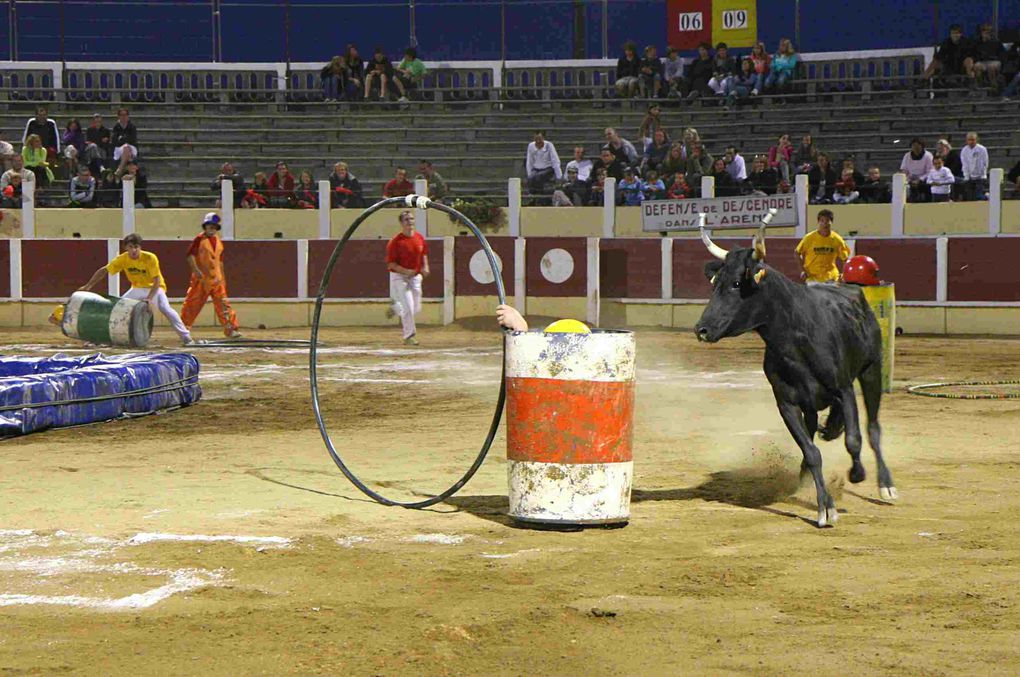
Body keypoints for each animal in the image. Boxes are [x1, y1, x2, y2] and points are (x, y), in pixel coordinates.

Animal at [693, 227, 901, 530]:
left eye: (736, 284)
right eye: (714, 284)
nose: (702, 329)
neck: (793, 337)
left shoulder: (844, 388)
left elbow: (854, 439)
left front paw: (857, 474)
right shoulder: (787, 404)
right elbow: (812, 452)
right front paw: (825, 507)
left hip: (872, 369)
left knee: (873, 428)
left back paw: (886, 485)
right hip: (812, 402)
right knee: (815, 433)